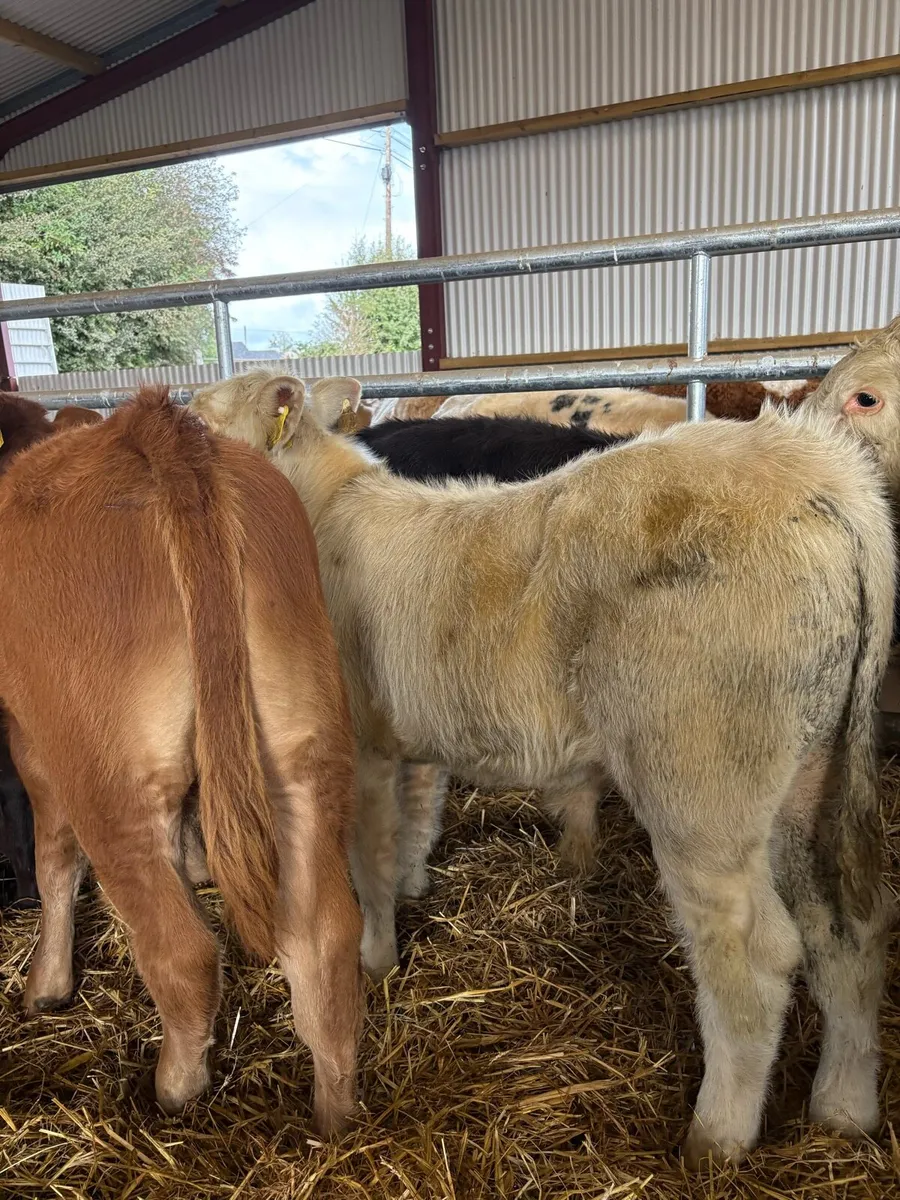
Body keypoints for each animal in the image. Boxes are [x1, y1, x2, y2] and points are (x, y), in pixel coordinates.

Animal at [0, 387, 362, 1133]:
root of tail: (154, 429)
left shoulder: (29, 738)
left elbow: (53, 861)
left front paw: (46, 983)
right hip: (304, 754)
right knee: (325, 939)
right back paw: (334, 1115)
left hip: (110, 781)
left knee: (183, 952)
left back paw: (174, 1089)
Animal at [191, 368, 895, 1169]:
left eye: (199, 428)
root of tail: (815, 475)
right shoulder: (410, 740)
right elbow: (414, 823)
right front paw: (410, 893)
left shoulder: (362, 740)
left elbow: (366, 857)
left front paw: (374, 957)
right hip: (815, 767)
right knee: (850, 923)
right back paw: (844, 1107)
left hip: (702, 778)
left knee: (755, 956)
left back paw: (716, 1138)